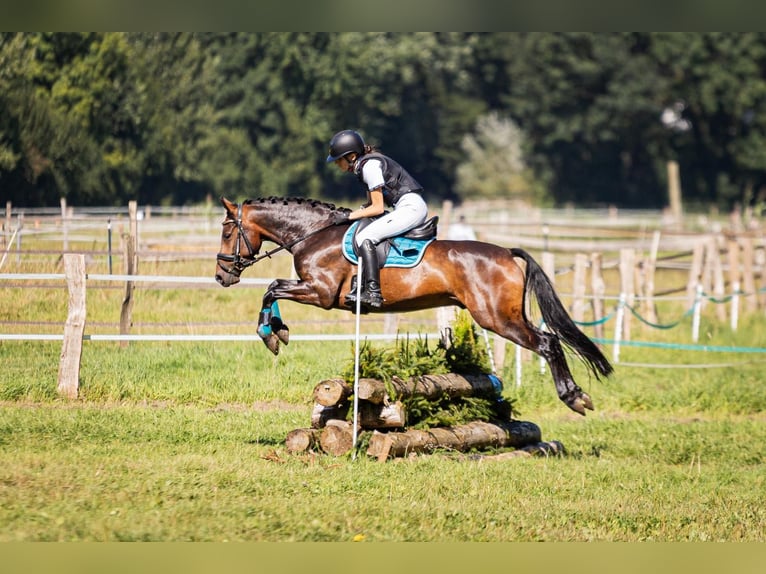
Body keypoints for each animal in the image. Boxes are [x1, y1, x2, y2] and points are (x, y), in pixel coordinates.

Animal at [218, 196, 616, 416]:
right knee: (551, 341)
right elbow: (272, 290)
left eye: (226, 231)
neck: (314, 234)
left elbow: (271, 288)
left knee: (548, 343)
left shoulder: (321, 292)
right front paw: (278, 332)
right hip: (502, 316)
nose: (222, 276)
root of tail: (506, 252)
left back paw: (574, 397)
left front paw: (272, 334)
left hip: (498, 318)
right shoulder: (314, 291)